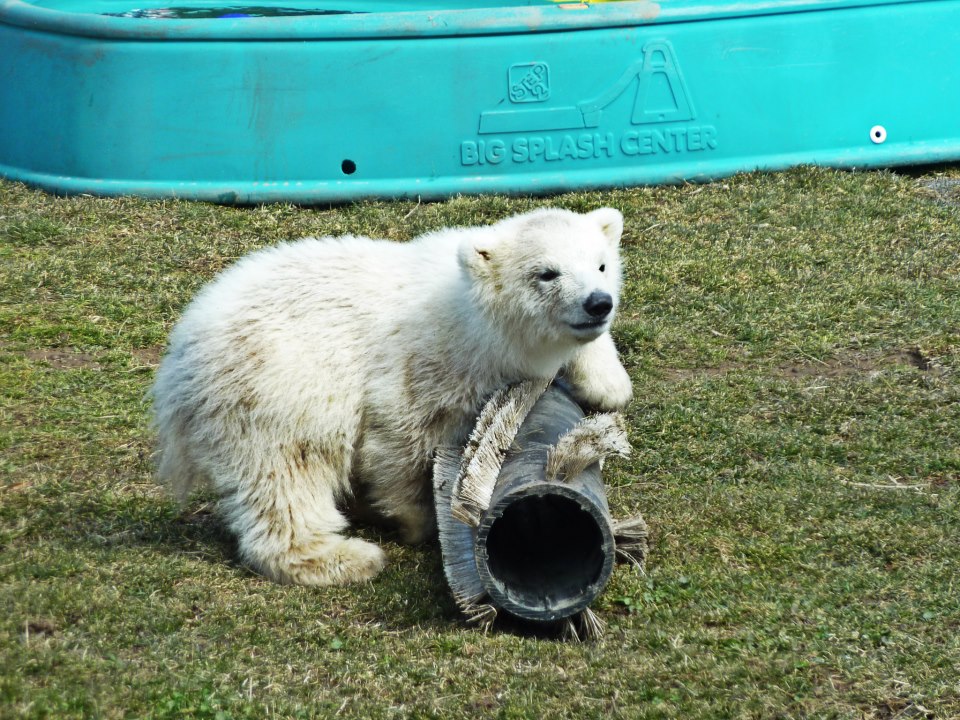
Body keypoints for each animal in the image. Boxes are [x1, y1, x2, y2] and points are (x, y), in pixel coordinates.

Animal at [150, 207, 632, 586]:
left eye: (601, 265)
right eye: (546, 273)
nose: (598, 303)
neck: (476, 318)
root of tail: (179, 361)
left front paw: (608, 383)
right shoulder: (426, 358)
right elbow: (401, 433)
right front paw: (418, 520)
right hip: (274, 384)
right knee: (288, 471)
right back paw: (344, 558)